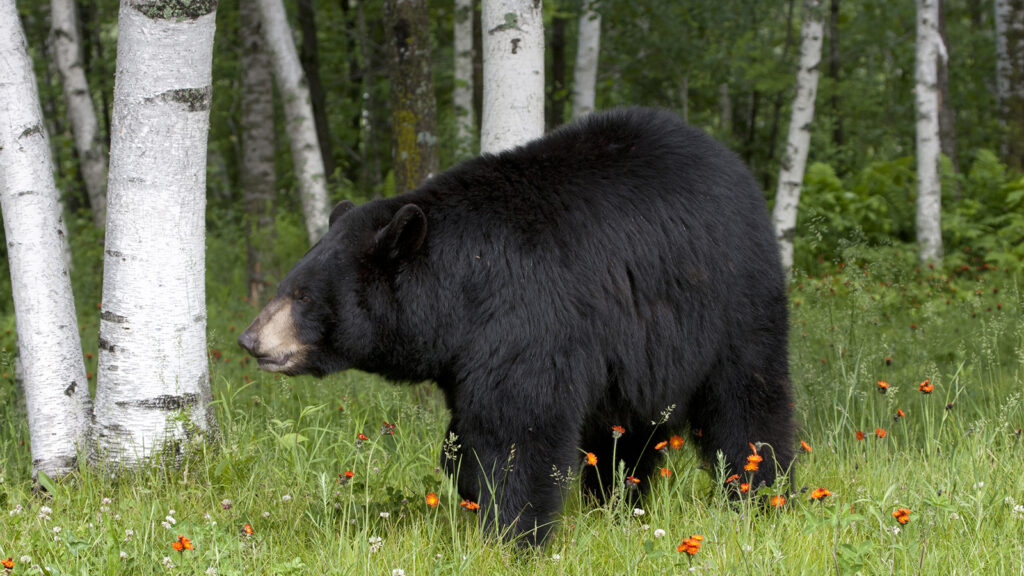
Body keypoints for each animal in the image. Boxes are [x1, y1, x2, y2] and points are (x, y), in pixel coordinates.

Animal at [237, 106, 790, 541]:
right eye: (290, 284)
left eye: (303, 295)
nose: (249, 338)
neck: (462, 287)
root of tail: (734, 166)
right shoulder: (466, 351)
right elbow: (467, 432)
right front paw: (468, 484)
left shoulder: (526, 319)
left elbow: (519, 429)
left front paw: (512, 532)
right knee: (624, 435)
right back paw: (616, 502)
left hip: (731, 303)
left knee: (748, 402)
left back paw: (762, 493)